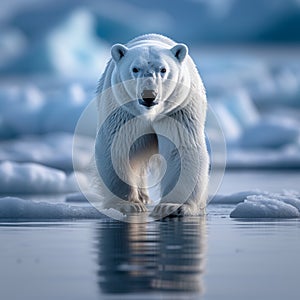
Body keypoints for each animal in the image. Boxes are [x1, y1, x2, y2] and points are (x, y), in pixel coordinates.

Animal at [94, 34, 209, 217]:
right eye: (135, 69)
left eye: (163, 69)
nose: (149, 96)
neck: (150, 114)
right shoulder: (124, 110)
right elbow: (118, 145)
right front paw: (128, 205)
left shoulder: (177, 110)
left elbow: (181, 147)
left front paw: (172, 206)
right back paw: (142, 197)